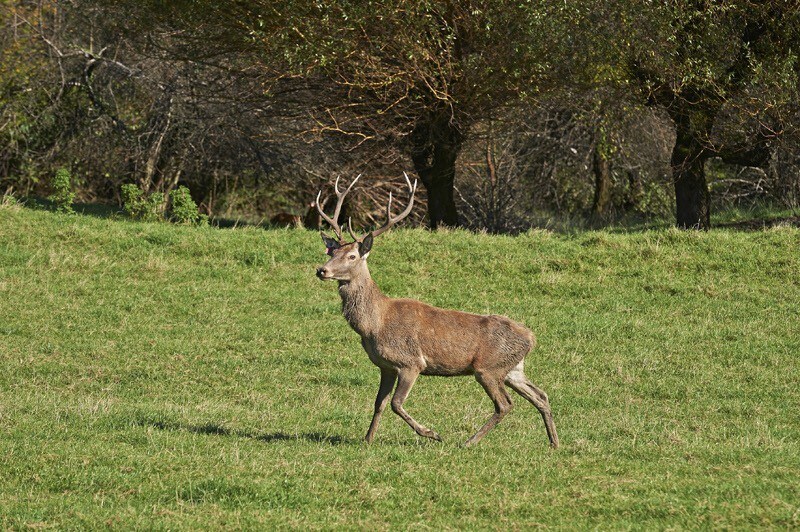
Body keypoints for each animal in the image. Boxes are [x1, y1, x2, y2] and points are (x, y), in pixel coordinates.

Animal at [316, 172, 560, 446]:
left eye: (352, 256)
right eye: (332, 251)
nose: (322, 270)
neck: (374, 325)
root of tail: (531, 338)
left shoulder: (411, 362)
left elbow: (396, 403)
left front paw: (431, 433)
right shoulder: (385, 366)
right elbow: (379, 403)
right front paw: (367, 439)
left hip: (488, 368)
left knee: (505, 404)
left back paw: (469, 441)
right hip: (512, 368)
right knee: (541, 395)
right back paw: (554, 443)